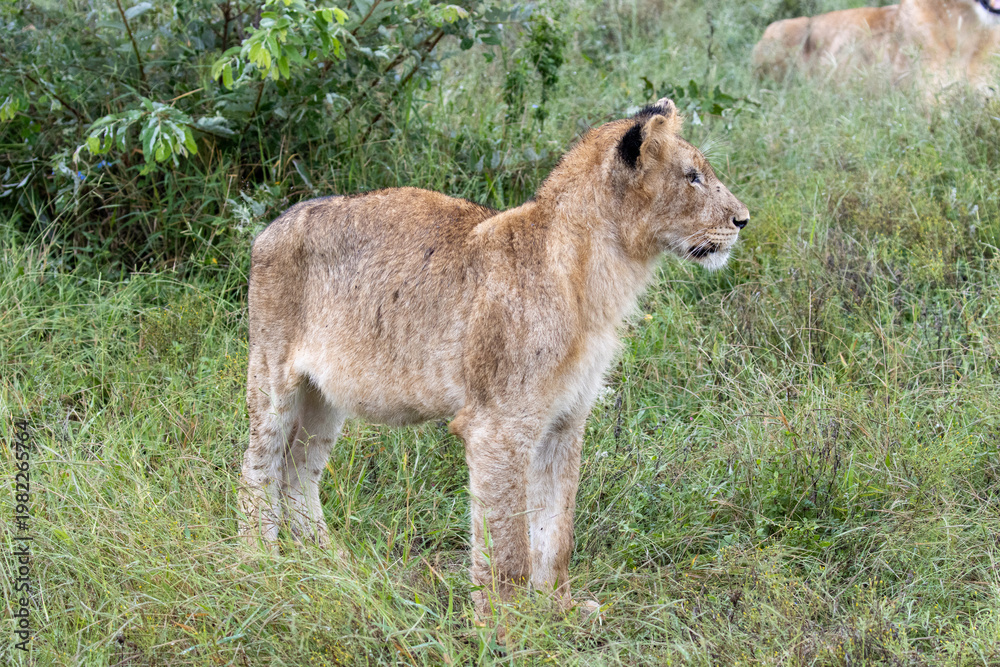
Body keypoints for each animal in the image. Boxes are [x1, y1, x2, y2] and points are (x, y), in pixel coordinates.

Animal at [240, 98, 749, 623]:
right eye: (692, 177)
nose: (743, 220)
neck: (599, 273)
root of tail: (273, 224)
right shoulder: (498, 425)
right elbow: (506, 540)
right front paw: (505, 624)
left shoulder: (566, 420)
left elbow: (555, 529)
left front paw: (559, 609)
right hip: (272, 375)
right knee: (258, 467)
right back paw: (260, 562)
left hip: (325, 397)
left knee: (299, 470)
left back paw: (329, 563)